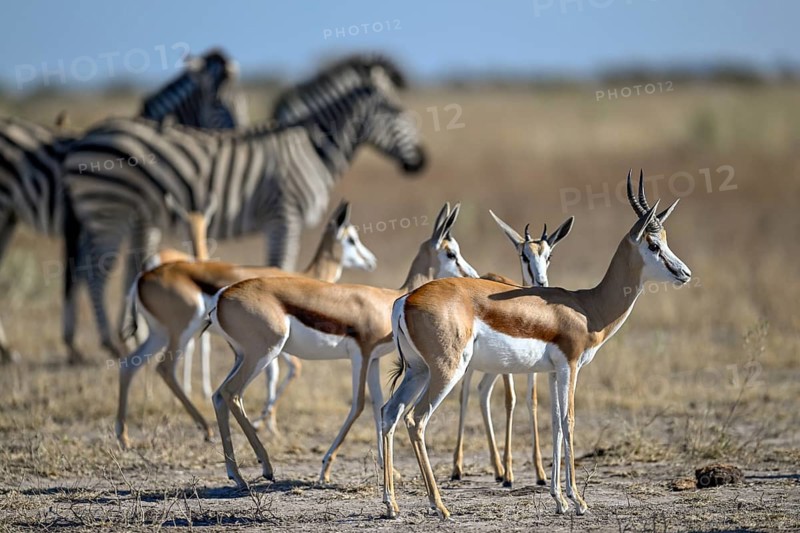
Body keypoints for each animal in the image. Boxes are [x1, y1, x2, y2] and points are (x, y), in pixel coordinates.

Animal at [0, 48, 246, 364]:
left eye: (241, 100)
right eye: (218, 102)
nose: (241, 136)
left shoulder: (139, 221)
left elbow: (131, 267)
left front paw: (133, 333)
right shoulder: (141, 220)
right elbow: (129, 267)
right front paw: (132, 335)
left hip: (9, 216)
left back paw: (9, 349)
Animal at [62, 59, 425, 361]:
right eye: (395, 109)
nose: (420, 161)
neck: (309, 149)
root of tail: (85, 137)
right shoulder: (285, 215)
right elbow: (282, 264)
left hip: (125, 215)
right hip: (110, 212)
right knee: (96, 272)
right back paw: (110, 342)